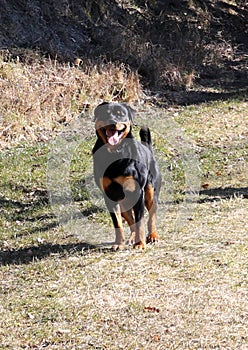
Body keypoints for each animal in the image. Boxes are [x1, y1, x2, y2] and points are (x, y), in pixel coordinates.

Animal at [92, 101, 161, 249]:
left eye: (120, 114)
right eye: (105, 113)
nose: (113, 122)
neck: (115, 153)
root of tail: (148, 149)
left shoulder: (138, 193)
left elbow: (141, 221)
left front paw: (140, 243)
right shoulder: (109, 195)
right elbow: (117, 223)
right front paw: (119, 243)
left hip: (151, 192)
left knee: (151, 217)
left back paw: (153, 236)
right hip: (123, 202)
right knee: (130, 220)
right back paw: (132, 238)